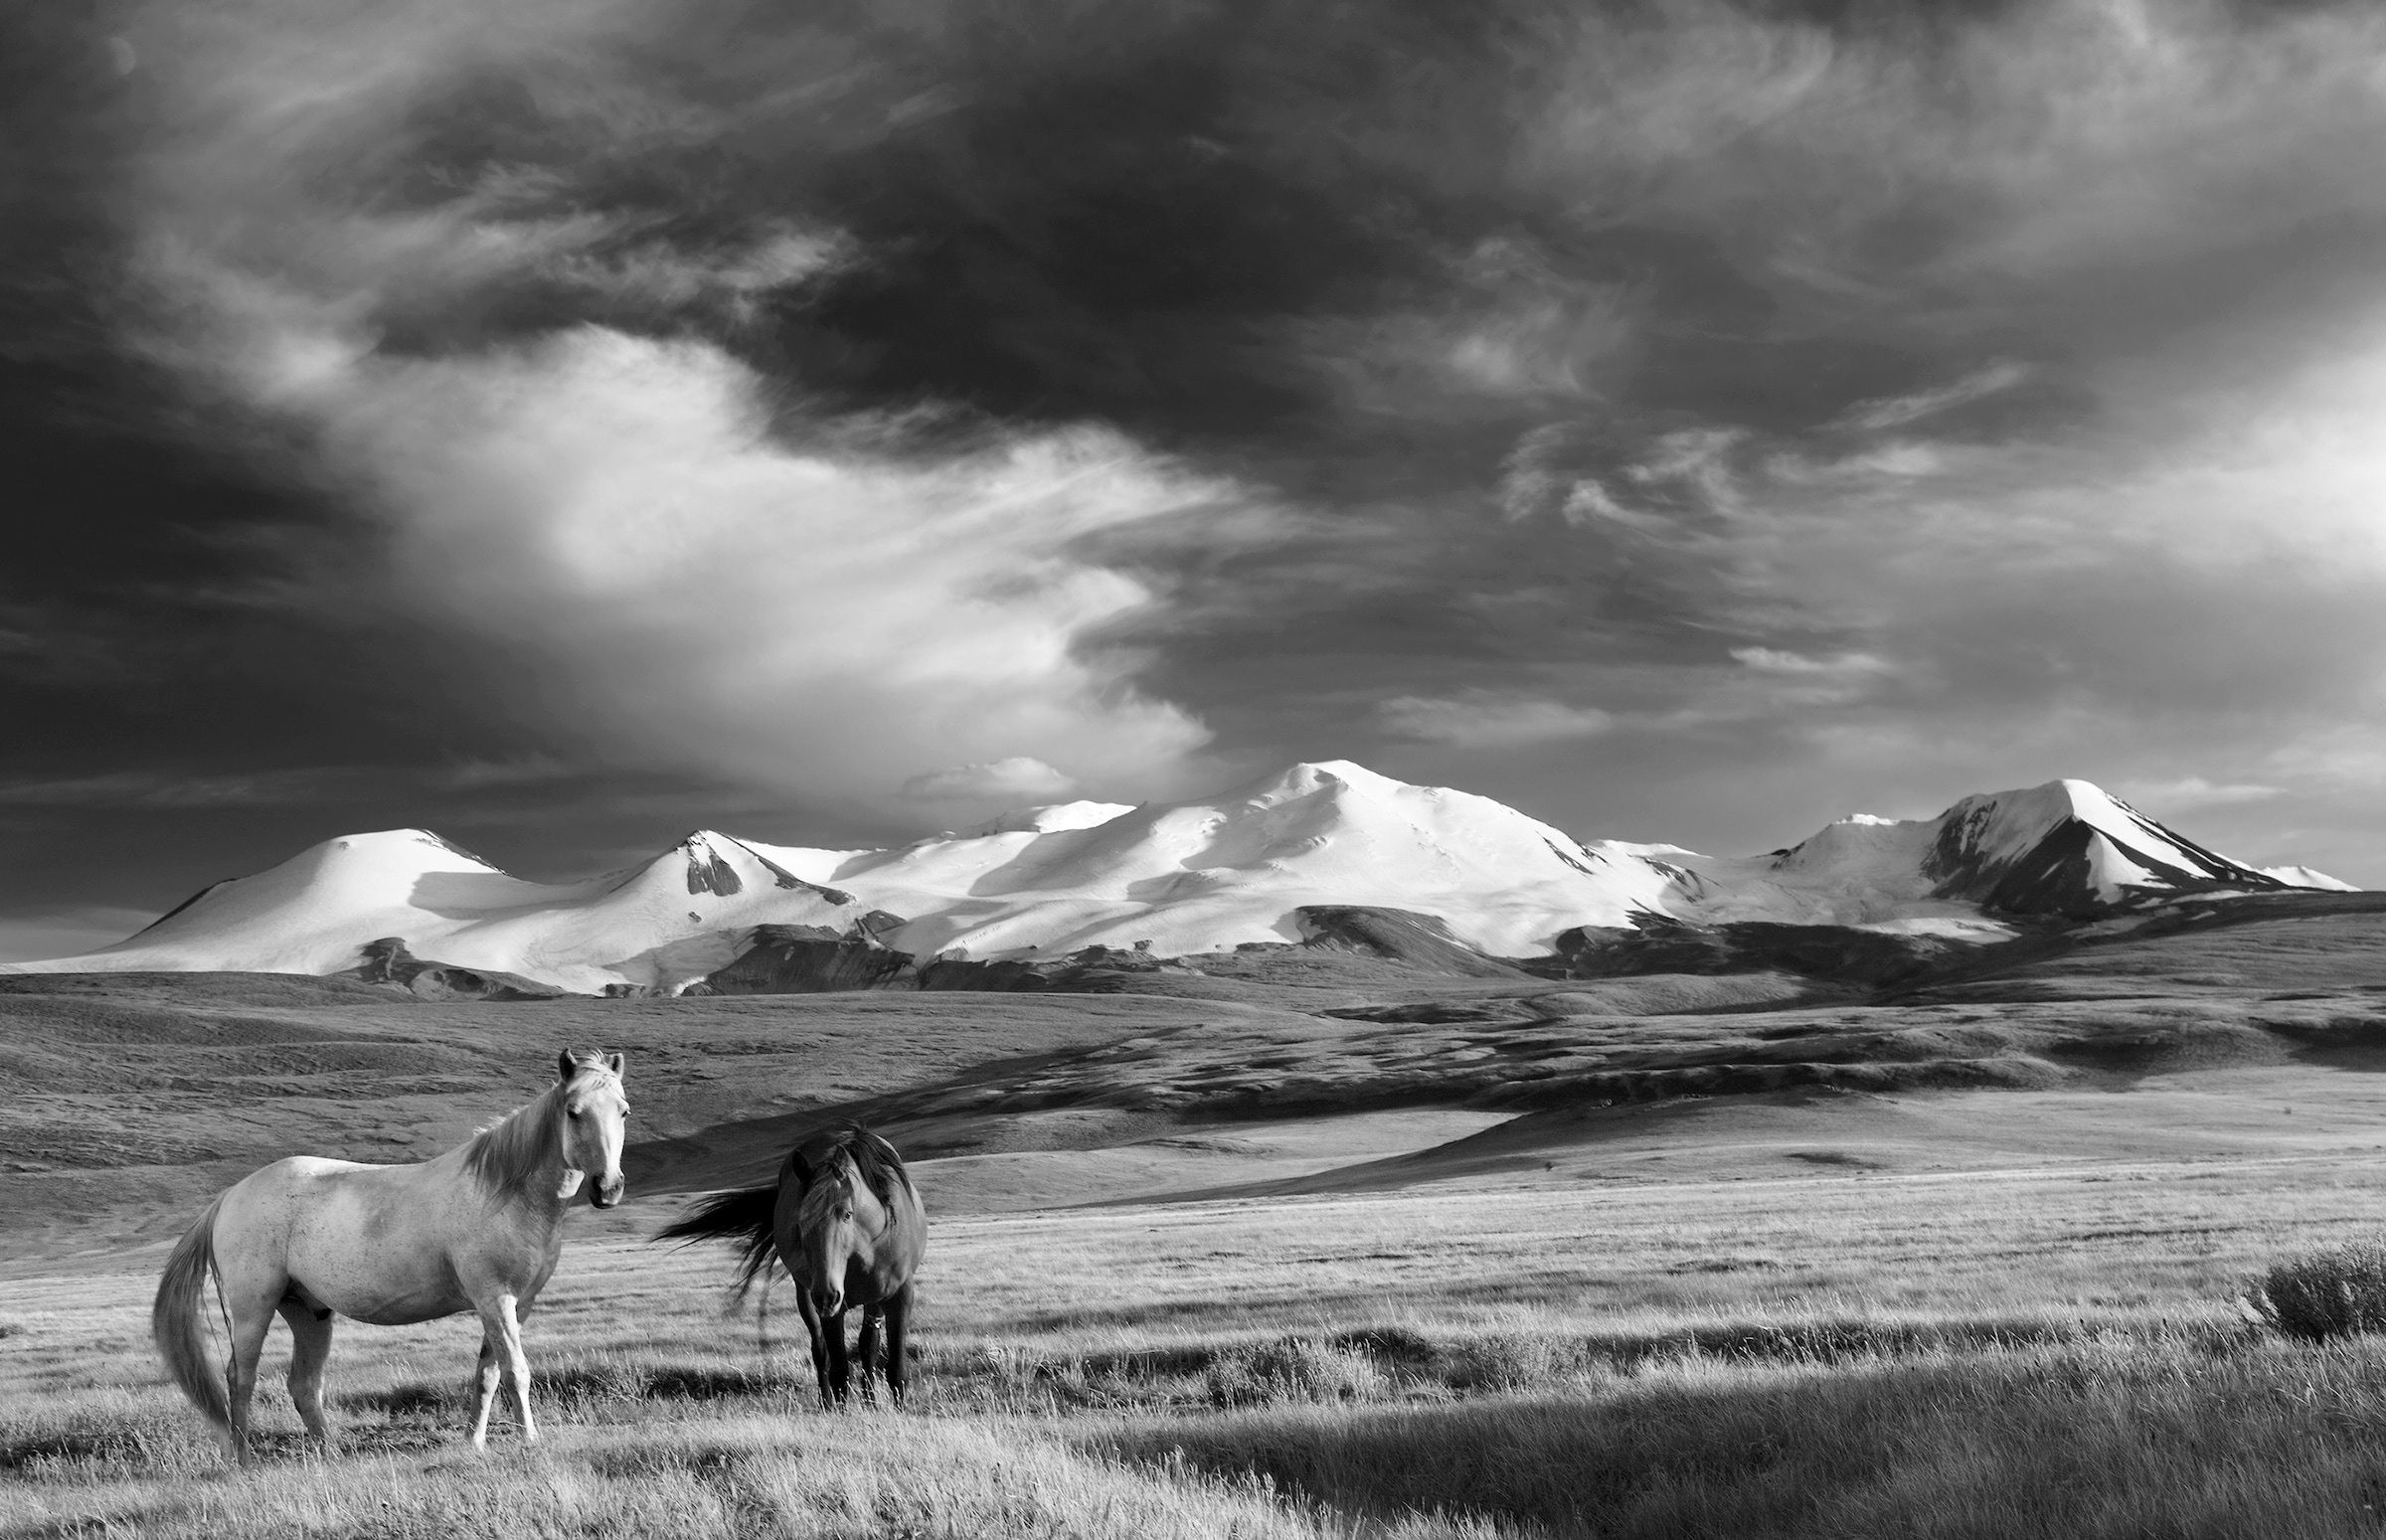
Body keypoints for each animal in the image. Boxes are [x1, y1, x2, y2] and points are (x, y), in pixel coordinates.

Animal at [150, 1045, 629, 1460]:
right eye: (573, 1111)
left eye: (623, 1110)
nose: (608, 1188)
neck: (504, 1193)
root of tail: (230, 1195)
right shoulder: (495, 1299)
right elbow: (516, 1371)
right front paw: (530, 1440)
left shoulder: (517, 1304)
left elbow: (488, 1375)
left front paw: (474, 1443)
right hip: (255, 1307)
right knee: (240, 1377)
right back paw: (244, 1458)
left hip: (308, 1312)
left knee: (303, 1385)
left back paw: (331, 1452)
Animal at [658, 1121, 926, 1404]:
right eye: (799, 1221)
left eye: (847, 1214)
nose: (827, 1295)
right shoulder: (833, 1307)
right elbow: (840, 1373)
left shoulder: (900, 1296)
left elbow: (895, 1370)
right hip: (806, 1294)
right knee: (821, 1352)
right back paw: (827, 1404)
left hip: (867, 1300)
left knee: (867, 1344)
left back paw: (870, 1400)